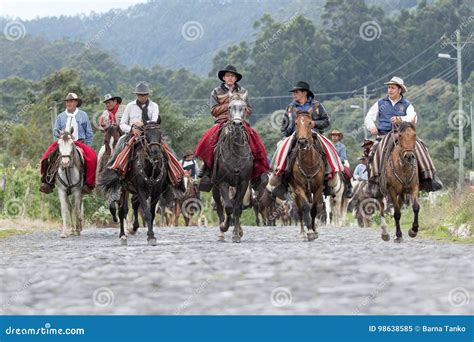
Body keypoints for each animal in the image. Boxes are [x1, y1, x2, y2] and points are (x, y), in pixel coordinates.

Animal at [288, 112, 326, 240]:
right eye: (296, 123)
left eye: (310, 123)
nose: (302, 142)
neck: (308, 164)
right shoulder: (299, 187)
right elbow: (305, 207)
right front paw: (309, 230)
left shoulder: (319, 188)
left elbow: (314, 209)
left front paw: (314, 230)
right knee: (300, 210)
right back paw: (303, 232)